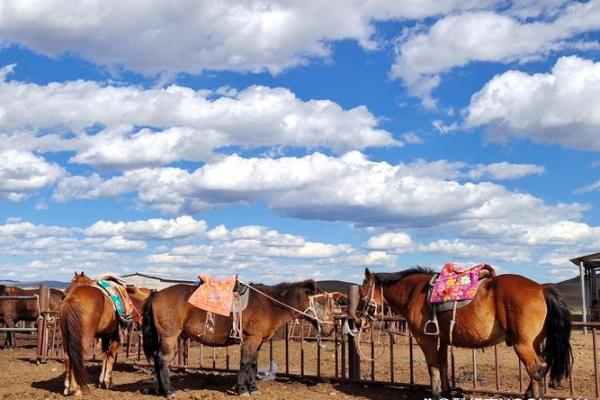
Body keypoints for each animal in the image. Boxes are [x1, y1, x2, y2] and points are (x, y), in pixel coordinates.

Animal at [141, 280, 338, 396]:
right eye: (322, 301)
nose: (330, 329)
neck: (270, 304)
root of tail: (156, 294)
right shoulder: (251, 339)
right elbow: (245, 363)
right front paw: (243, 390)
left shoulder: (258, 342)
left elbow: (253, 364)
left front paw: (253, 388)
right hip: (169, 336)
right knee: (162, 359)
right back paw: (168, 391)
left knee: (158, 360)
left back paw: (158, 389)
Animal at [360, 266, 572, 400]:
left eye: (362, 295)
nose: (359, 320)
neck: (416, 293)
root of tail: (542, 288)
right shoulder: (442, 340)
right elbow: (443, 365)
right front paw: (446, 392)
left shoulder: (426, 339)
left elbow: (432, 366)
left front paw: (436, 394)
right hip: (534, 343)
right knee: (541, 367)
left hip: (522, 344)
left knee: (536, 368)